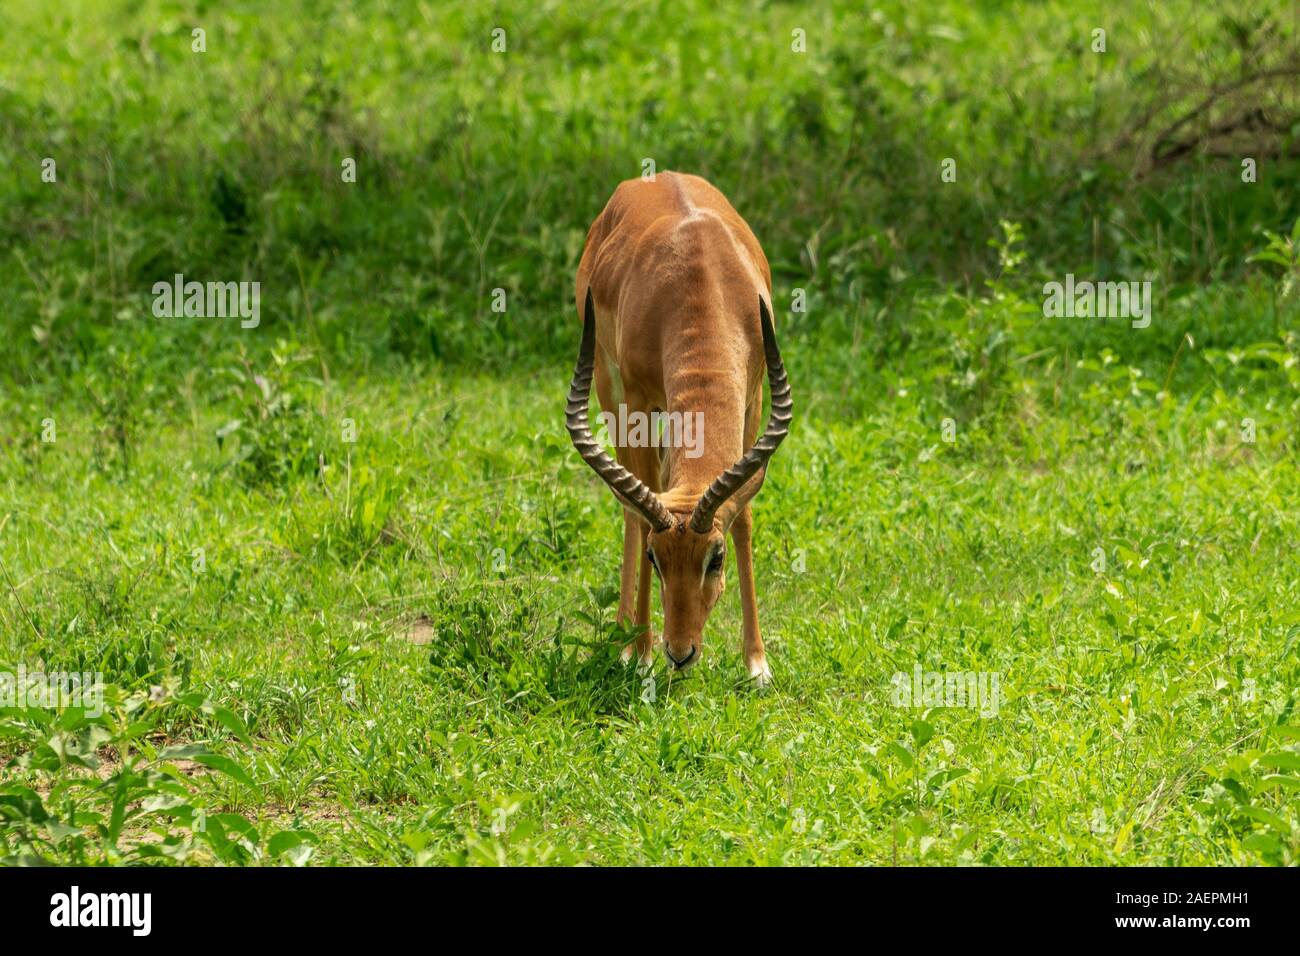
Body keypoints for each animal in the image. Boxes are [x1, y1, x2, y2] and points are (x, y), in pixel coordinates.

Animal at [565, 172, 792, 685]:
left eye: (716, 556)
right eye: (657, 557)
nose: (681, 653)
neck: (702, 279)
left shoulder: (753, 396)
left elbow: (744, 515)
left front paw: (756, 664)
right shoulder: (638, 398)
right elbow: (641, 505)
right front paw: (641, 655)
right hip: (609, 388)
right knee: (631, 507)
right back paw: (625, 641)